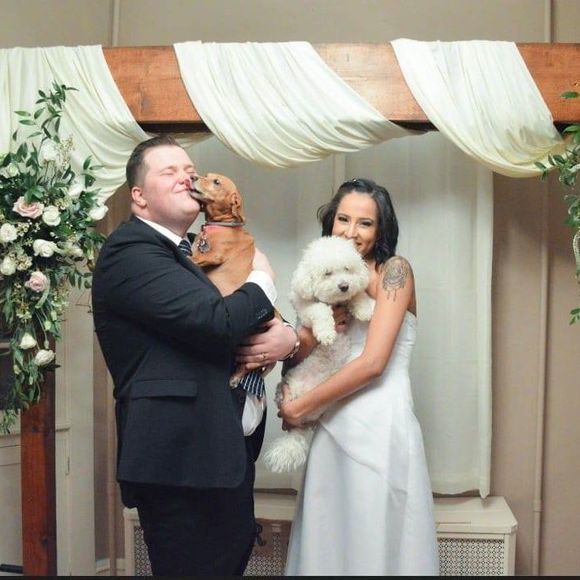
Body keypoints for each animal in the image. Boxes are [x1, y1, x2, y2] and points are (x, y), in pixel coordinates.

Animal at [263, 236, 374, 473]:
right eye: (327, 273)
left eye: (347, 269)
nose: (344, 285)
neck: (335, 303)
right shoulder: (306, 309)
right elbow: (320, 310)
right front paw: (326, 333)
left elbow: (357, 296)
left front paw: (364, 309)